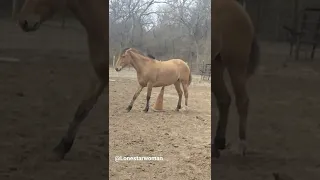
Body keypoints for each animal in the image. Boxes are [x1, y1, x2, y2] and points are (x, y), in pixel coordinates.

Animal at [212, 0, 260, 158]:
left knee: (242, 100)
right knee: (224, 99)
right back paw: (217, 144)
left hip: (235, 65)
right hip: (216, 64)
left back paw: (241, 145)